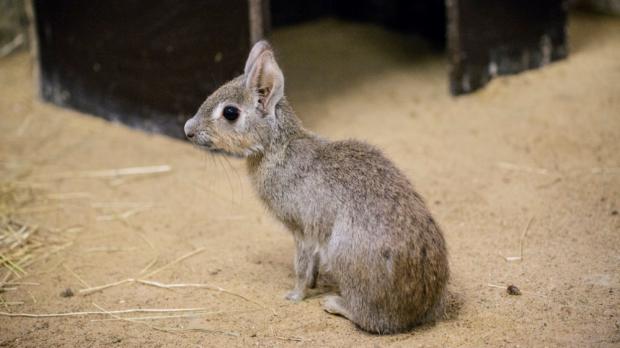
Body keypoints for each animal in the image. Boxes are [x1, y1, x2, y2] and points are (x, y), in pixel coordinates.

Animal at [184, 40, 450, 334]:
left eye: (230, 113)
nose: (188, 130)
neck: (277, 147)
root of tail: (419, 308)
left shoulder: (302, 229)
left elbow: (301, 264)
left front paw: (294, 295)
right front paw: (311, 285)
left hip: (344, 255)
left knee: (370, 319)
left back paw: (334, 303)